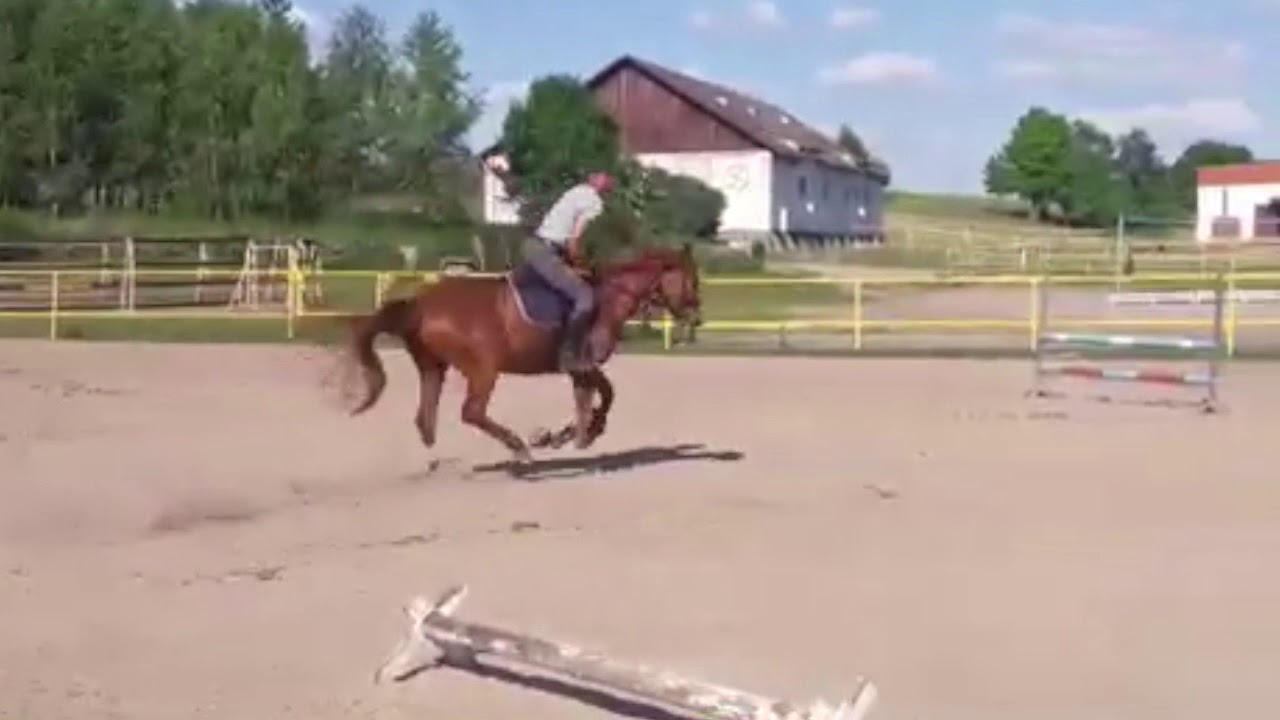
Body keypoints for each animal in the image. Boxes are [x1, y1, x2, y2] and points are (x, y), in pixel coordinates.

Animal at [338, 244, 702, 468]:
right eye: (692, 280)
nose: (697, 318)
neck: (607, 298)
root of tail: (421, 304)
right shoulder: (582, 364)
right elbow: (606, 395)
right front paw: (581, 434)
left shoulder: (579, 369)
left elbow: (591, 398)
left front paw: (570, 435)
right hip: (483, 369)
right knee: (471, 412)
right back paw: (519, 448)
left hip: (433, 368)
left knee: (425, 419)